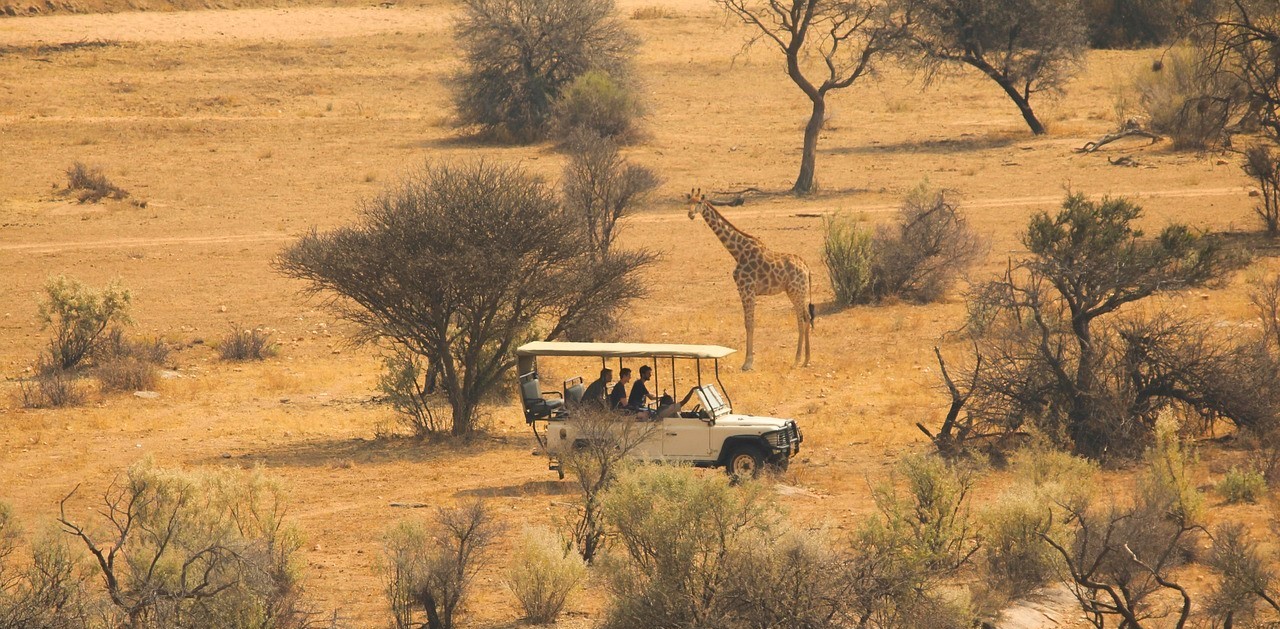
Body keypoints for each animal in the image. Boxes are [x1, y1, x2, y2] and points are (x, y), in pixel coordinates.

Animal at [686, 189, 813, 371]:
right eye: (688, 201)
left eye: (699, 203)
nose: (690, 214)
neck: (737, 252)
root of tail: (806, 268)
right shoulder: (743, 290)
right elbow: (747, 323)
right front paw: (748, 360)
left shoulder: (747, 290)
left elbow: (749, 323)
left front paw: (747, 362)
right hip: (795, 292)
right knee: (805, 318)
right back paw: (805, 360)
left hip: (797, 291)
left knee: (802, 319)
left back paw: (797, 360)